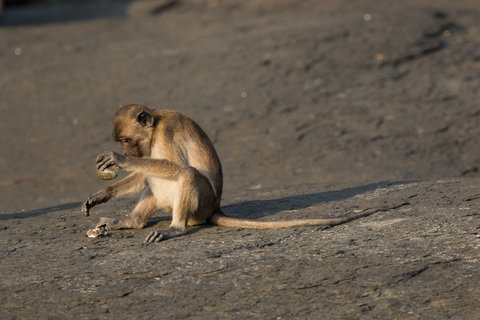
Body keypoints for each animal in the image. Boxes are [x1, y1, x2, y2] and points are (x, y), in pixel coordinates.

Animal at [83, 104, 408, 242]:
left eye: (126, 141)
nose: (129, 152)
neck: (156, 125)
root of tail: (215, 208)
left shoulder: (167, 133)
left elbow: (179, 167)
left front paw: (117, 161)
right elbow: (145, 173)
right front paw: (101, 194)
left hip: (200, 204)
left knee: (188, 175)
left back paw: (176, 228)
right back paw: (132, 222)